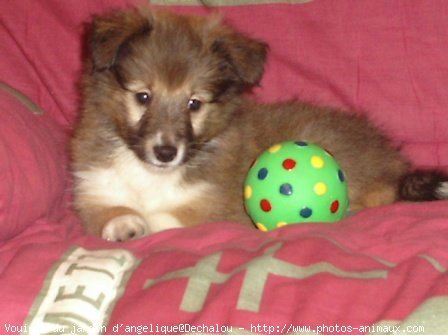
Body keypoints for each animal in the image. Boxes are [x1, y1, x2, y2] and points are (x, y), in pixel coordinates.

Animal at [71, 7, 448, 242]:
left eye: (195, 103)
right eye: (143, 96)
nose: (165, 152)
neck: (150, 175)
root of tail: (396, 167)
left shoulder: (214, 204)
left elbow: (171, 219)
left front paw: (147, 222)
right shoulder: (95, 188)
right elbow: (107, 210)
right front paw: (125, 224)